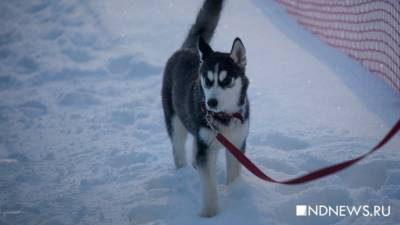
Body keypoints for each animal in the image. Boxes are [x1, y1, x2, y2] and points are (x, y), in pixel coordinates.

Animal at [161, 0, 248, 217]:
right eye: (207, 81)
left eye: (226, 80)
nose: (211, 103)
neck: (225, 117)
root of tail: (187, 49)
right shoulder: (206, 150)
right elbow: (209, 186)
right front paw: (210, 213)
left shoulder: (238, 142)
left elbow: (234, 173)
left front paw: (235, 192)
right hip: (175, 122)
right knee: (178, 148)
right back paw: (183, 172)